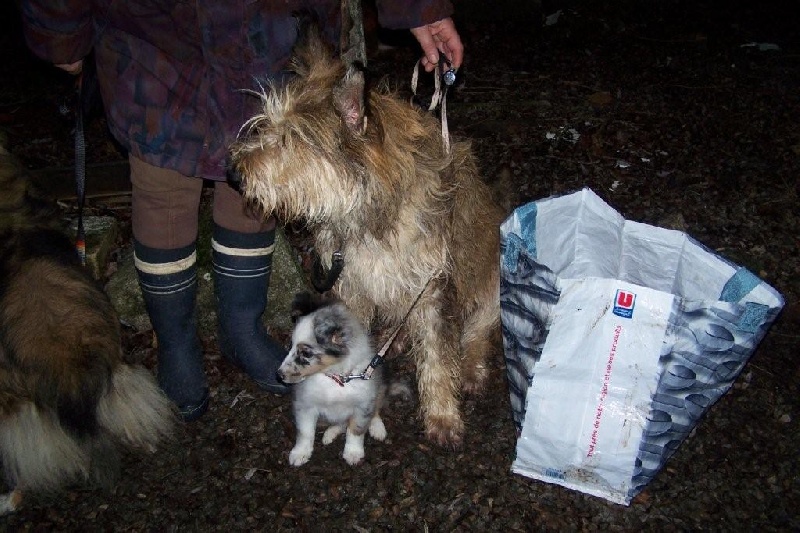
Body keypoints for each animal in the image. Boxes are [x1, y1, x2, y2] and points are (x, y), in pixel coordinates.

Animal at [228, 21, 504, 444]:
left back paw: (471, 365)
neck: (366, 215)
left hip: (487, 276)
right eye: (267, 126)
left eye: (291, 139)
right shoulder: (352, 285)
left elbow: (438, 356)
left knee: (478, 330)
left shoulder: (432, 288)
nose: (233, 175)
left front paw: (442, 414)